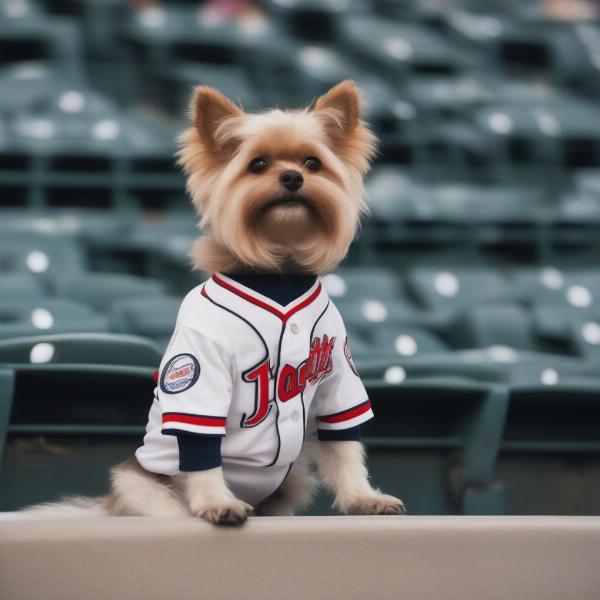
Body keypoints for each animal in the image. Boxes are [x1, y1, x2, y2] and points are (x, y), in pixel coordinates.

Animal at [27, 81, 408, 524]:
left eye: (313, 163)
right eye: (257, 165)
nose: (293, 176)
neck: (278, 272)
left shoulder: (337, 374)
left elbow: (345, 445)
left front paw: (362, 497)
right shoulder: (198, 368)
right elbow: (201, 448)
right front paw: (217, 502)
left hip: (288, 486)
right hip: (144, 489)